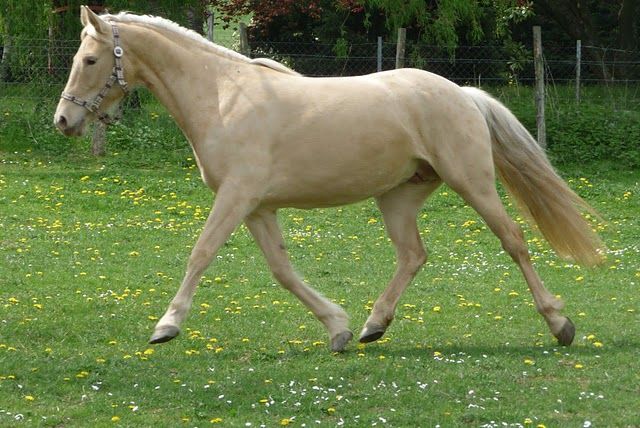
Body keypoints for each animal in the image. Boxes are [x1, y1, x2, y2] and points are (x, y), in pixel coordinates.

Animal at [54, 6, 603, 352]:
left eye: (89, 60)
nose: (64, 120)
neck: (221, 95)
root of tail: (463, 93)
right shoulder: (258, 207)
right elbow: (281, 270)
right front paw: (336, 328)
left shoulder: (236, 197)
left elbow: (201, 254)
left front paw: (166, 327)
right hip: (397, 198)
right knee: (413, 255)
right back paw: (372, 327)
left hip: (473, 184)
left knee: (514, 241)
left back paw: (560, 324)